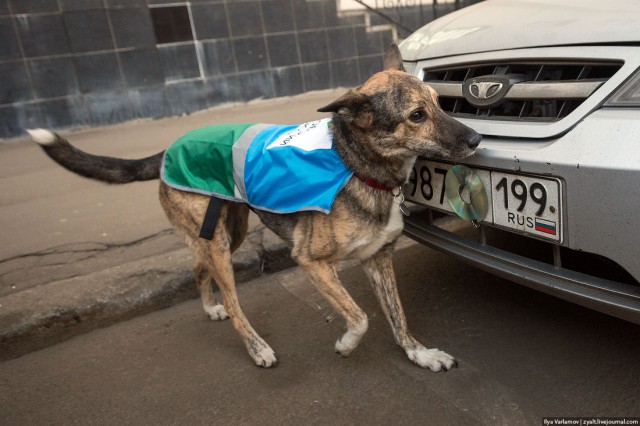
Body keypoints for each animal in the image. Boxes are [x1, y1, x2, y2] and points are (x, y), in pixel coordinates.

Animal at [30, 44, 480, 370]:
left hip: (227, 230)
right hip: (219, 242)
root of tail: (168, 150)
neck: (355, 164)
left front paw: (420, 354)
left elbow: (398, 318)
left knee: (199, 268)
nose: (477, 138)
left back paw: (210, 308)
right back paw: (256, 346)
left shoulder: (379, 260)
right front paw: (346, 345)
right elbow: (361, 317)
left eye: (439, 102)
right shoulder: (311, 262)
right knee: (232, 299)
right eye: (417, 115)